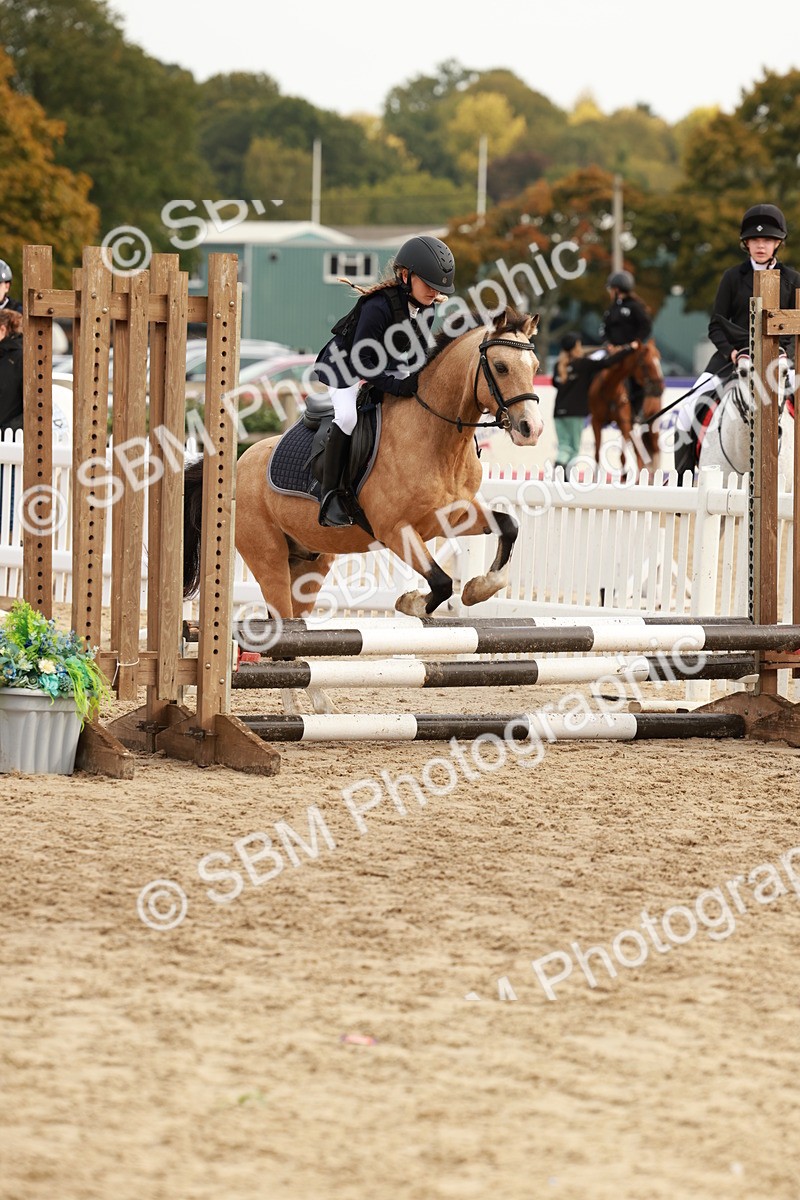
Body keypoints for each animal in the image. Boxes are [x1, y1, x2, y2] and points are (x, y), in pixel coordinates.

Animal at [184, 309, 543, 630]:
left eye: (535, 367)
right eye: (501, 367)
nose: (532, 429)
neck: (438, 440)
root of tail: (236, 465)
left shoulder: (452, 516)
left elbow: (509, 526)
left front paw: (477, 589)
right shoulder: (396, 531)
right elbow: (441, 582)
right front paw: (412, 602)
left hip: (309, 563)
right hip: (268, 557)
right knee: (281, 613)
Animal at [587, 341, 665, 476]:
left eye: (658, 361)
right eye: (644, 364)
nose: (659, 388)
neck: (610, 389)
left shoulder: (624, 424)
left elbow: (623, 457)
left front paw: (623, 477)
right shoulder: (596, 421)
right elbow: (597, 454)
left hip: (652, 426)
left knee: (653, 451)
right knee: (639, 454)